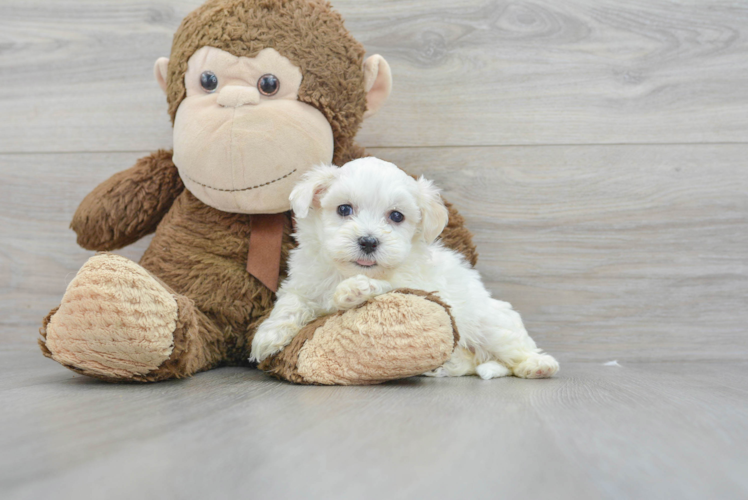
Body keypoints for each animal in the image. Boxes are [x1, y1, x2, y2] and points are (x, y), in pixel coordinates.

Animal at [248, 158, 560, 380]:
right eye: (344, 209)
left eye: (396, 216)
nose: (368, 241)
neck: (345, 270)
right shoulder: (304, 282)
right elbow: (291, 303)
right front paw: (268, 336)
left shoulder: (414, 283)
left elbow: (386, 287)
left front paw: (353, 290)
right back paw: (443, 367)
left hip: (490, 324)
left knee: (513, 351)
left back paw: (538, 365)